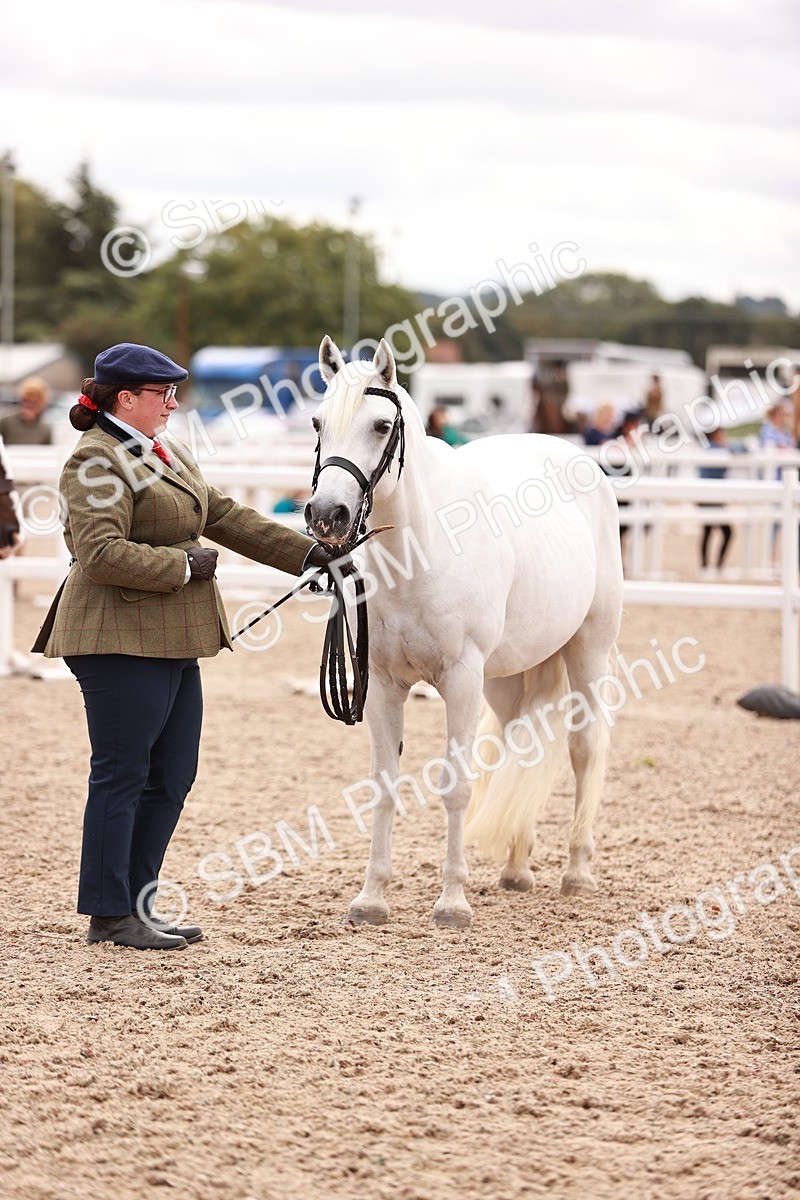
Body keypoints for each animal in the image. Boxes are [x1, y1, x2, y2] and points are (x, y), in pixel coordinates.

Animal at [306, 336, 624, 929]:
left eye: (381, 425)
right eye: (317, 422)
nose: (326, 514)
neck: (419, 550)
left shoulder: (459, 679)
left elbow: (456, 786)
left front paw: (452, 901)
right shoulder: (382, 685)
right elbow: (385, 786)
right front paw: (371, 897)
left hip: (587, 652)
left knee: (585, 749)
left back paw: (577, 873)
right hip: (506, 678)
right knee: (523, 748)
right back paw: (517, 868)